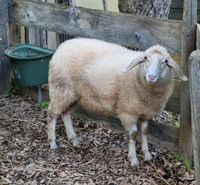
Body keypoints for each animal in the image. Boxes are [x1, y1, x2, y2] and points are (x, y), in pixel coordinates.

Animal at [47, 38, 188, 168]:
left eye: (165, 61)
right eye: (145, 58)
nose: (151, 77)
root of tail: (63, 46)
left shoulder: (144, 111)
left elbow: (145, 131)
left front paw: (147, 154)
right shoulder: (128, 112)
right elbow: (133, 134)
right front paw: (133, 159)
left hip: (73, 95)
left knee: (65, 113)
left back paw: (73, 139)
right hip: (61, 89)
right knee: (52, 114)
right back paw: (53, 142)